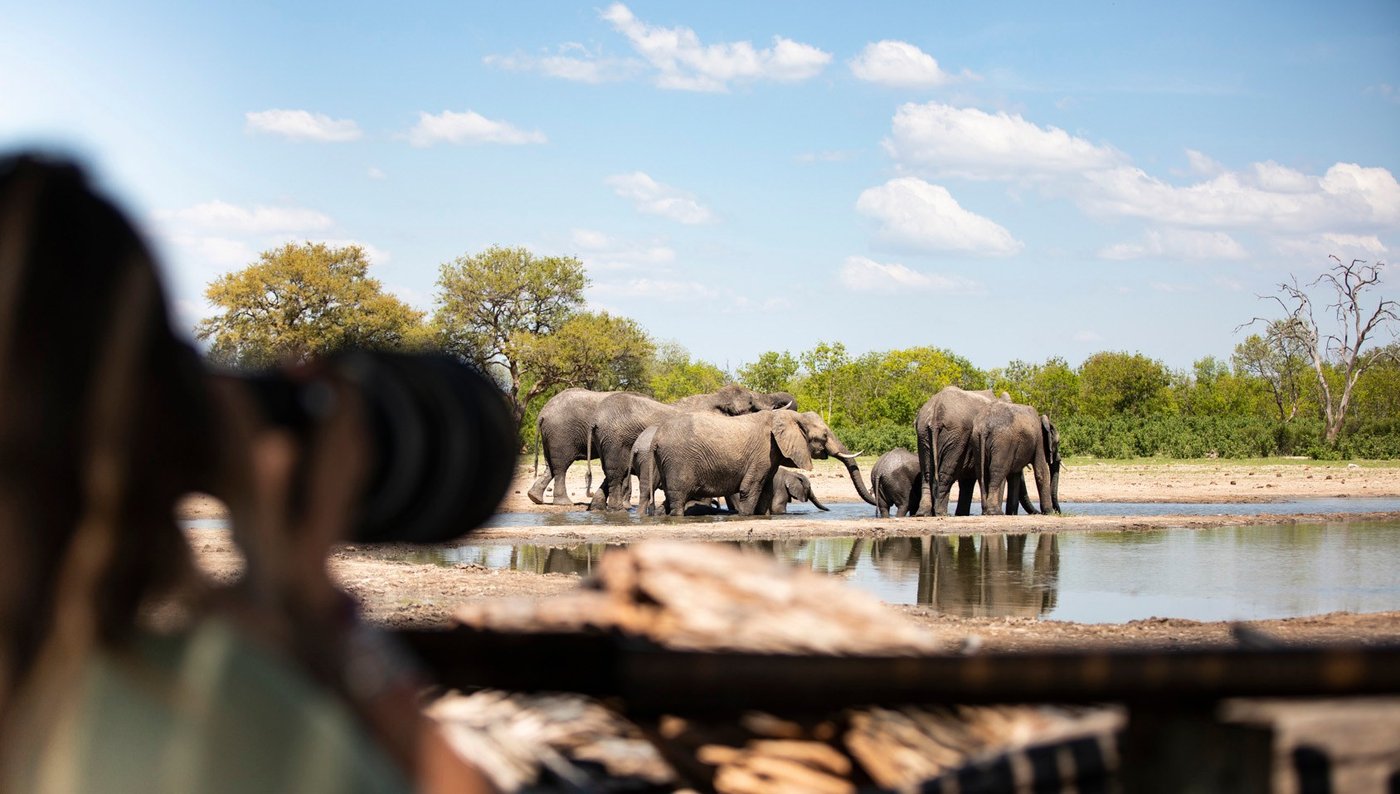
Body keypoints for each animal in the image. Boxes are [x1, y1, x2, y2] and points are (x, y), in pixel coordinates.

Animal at [589, 385, 797, 512]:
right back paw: (616, 510)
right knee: (616, 475)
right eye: (751, 405)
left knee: (611, 475)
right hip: (615, 441)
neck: (716, 399)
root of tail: (596, 419)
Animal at [640, 409, 876, 516]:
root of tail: (656, 437)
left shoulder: (771, 457)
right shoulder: (763, 453)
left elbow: (766, 491)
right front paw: (745, 517)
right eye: (825, 436)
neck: (789, 416)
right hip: (678, 461)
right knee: (677, 498)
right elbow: (750, 489)